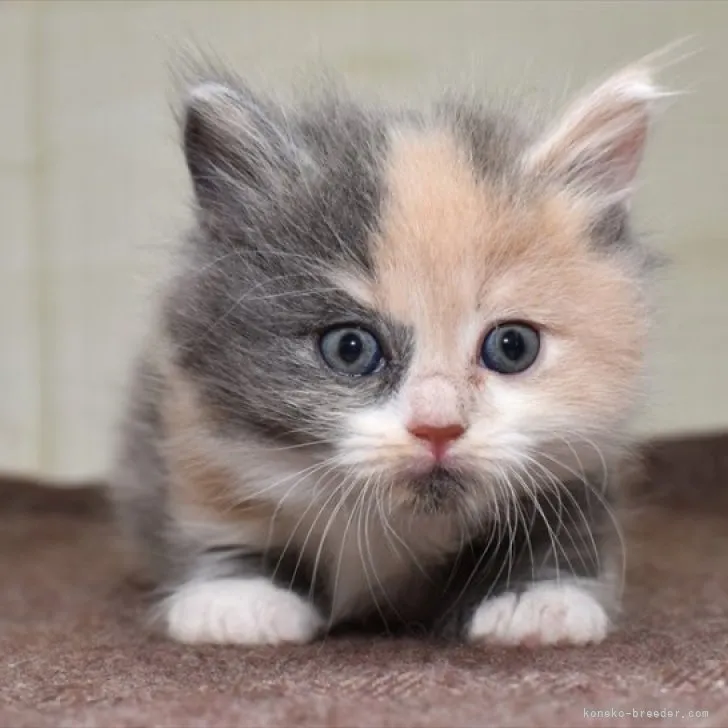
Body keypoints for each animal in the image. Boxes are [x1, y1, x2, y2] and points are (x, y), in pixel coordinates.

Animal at [111, 59, 664, 644]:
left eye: (512, 347)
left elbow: (564, 524)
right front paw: (238, 598)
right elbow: (218, 519)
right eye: (351, 348)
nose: (438, 427)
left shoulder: (587, 459)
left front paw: (537, 600)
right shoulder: (189, 432)